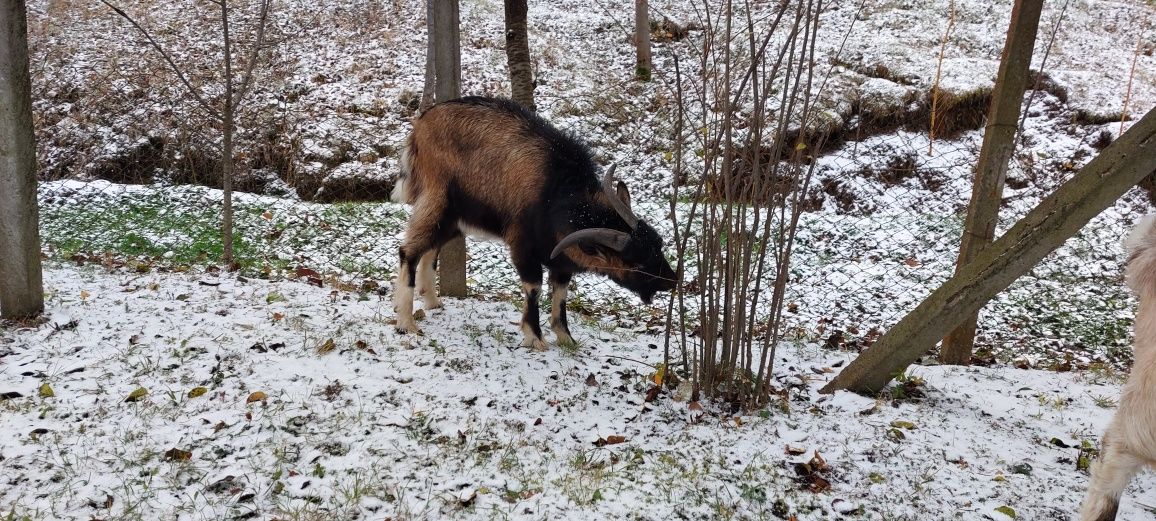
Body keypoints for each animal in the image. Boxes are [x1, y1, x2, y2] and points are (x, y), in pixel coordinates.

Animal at [388, 98, 675, 351]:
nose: (671, 282)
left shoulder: (562, 258)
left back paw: (432, 302)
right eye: (635, 263)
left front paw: (566, 338)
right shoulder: (523, 246)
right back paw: (406, 322)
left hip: (455, 219)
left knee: (430, 250)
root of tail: (420, 126)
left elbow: (560, 294)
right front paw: (535, 338)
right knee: (409, 251)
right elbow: (534, 287)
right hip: (437, 199)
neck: (554, 189)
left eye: (658, 245)